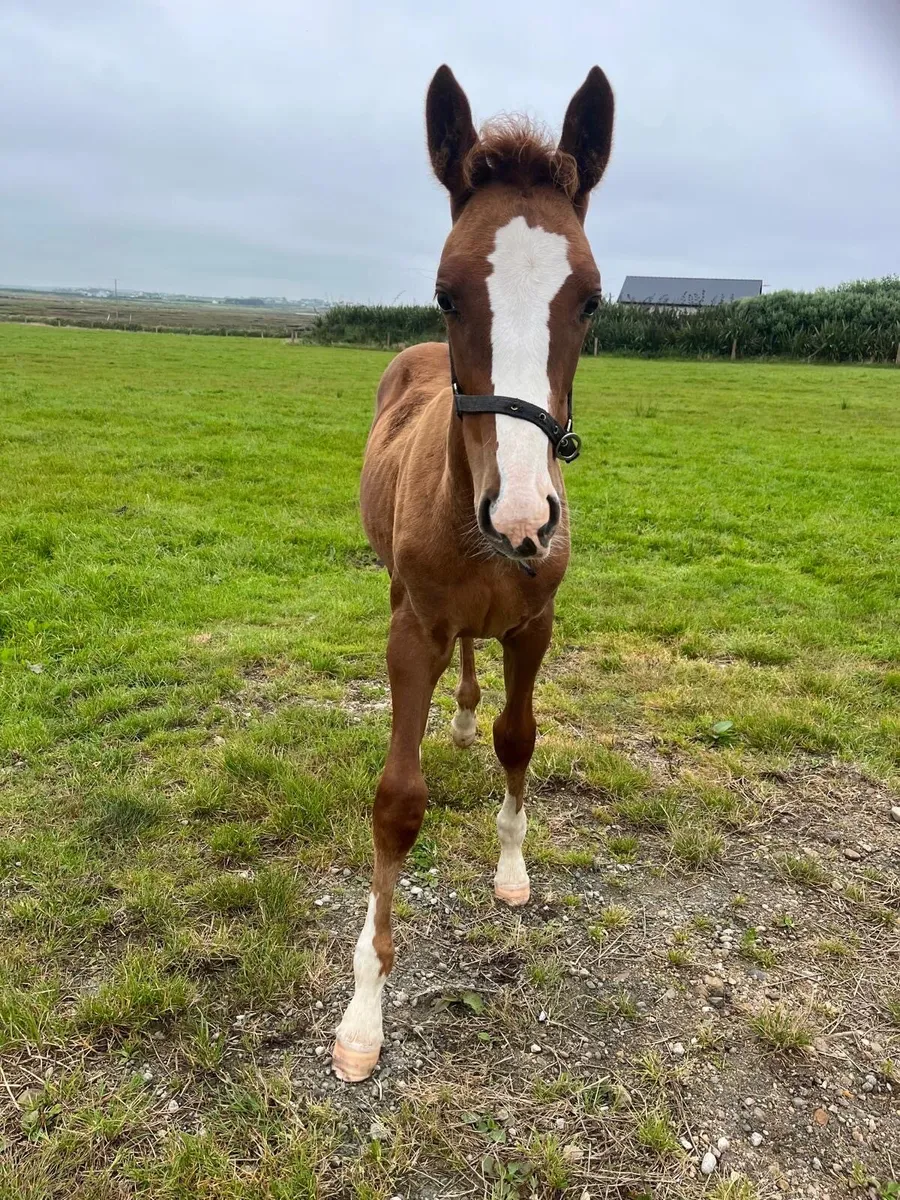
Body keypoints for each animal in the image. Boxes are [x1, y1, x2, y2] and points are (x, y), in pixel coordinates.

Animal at [333, 64, 615, 1082]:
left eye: (591, 300)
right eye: (447, 293)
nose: (524, 517)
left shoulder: (535, 628)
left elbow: (519, 739)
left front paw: (513, 870)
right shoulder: (411, 630)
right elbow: (397, 803)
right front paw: (363, 1017)